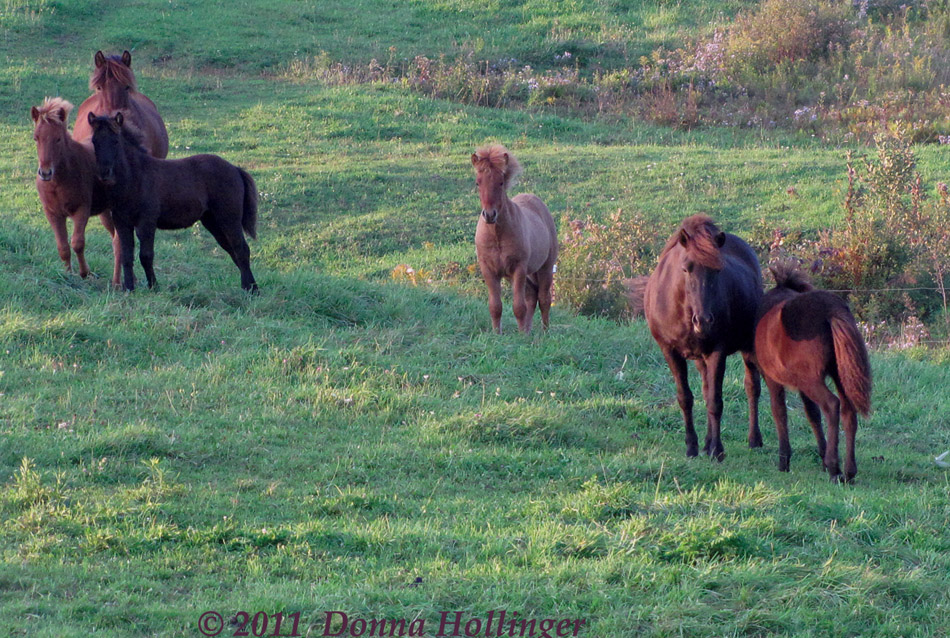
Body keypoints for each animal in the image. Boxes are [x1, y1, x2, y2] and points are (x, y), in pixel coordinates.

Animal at [31, 98, 122, 288]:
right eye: (36, 138)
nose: (45, 173)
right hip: (105, 213)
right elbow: (63, 247)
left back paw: (117, 283)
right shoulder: (53, 214)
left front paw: (84, 272)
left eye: (58, 139)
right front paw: (68, 274)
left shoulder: (81, 210)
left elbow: (78, 242)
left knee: (119, 243)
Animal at [89, 114, 258, 294]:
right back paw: (247, 287)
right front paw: (129, 289)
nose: (104, 173)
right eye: (94, 141)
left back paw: (252, 290)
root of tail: (235, 169)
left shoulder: (146, 222)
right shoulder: (122, 222)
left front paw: (153, 286)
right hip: (213, 222)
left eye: (115, 141)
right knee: (232, 249)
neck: (135, 178)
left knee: (241, 249)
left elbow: (146, 255)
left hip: (229, 219)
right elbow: (126, 256)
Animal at [470, 145, 556, 336]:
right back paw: (528, 331)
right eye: (478, 183)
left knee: (544, 299)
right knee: (532, 297)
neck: (497, 235)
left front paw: (520, 336)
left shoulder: (519, 268)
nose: (489, 215)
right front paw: (498, 334)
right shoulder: (489, 270)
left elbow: (519, 307)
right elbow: (495, 306)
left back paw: (545, 332)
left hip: (545, 268)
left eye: (501, 182)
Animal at [640, 215, 768, 460]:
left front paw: (717, 450)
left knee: (752, 387)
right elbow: (686, 398)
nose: (704, 321)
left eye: (718, 270)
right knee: (707, 387)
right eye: (686, 268)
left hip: (748, 346)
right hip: (700, 357)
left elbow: (715, 402)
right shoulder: (670, 351)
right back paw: (707, 442)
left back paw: (754, 439)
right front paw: (692, 447)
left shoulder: (718, 351)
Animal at [756, 262, 872, 482]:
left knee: (832, 405)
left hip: (812, 380)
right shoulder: (801, 386)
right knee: (848, 411)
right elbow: (812, 414)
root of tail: (831, 311)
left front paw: (784, 461)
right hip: (839, 375)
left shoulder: (773, 380)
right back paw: (848, 471)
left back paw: (834, 468)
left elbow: (779, 412)